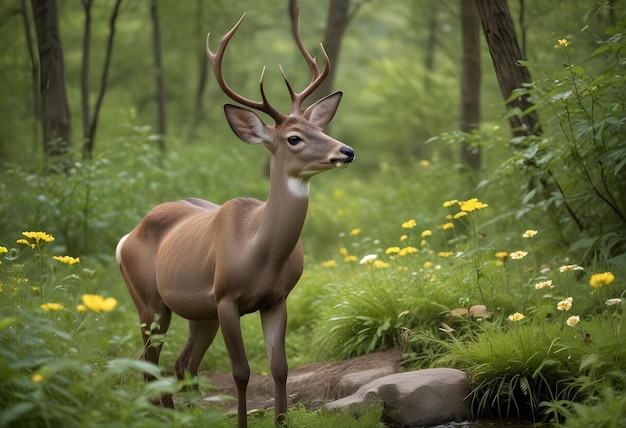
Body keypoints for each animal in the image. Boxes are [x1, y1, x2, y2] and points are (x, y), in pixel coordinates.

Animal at [115, 6, 354, 428]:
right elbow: (241, 372)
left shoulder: (277, 298)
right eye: (294, 138)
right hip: (149, 301)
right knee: (150, 366)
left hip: (199, 312)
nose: (346, 150)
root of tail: (126, 237)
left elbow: (279, 368)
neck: (260, 251)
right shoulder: (226, 297)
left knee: (182, 364)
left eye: (319, 127)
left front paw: (281, 419)